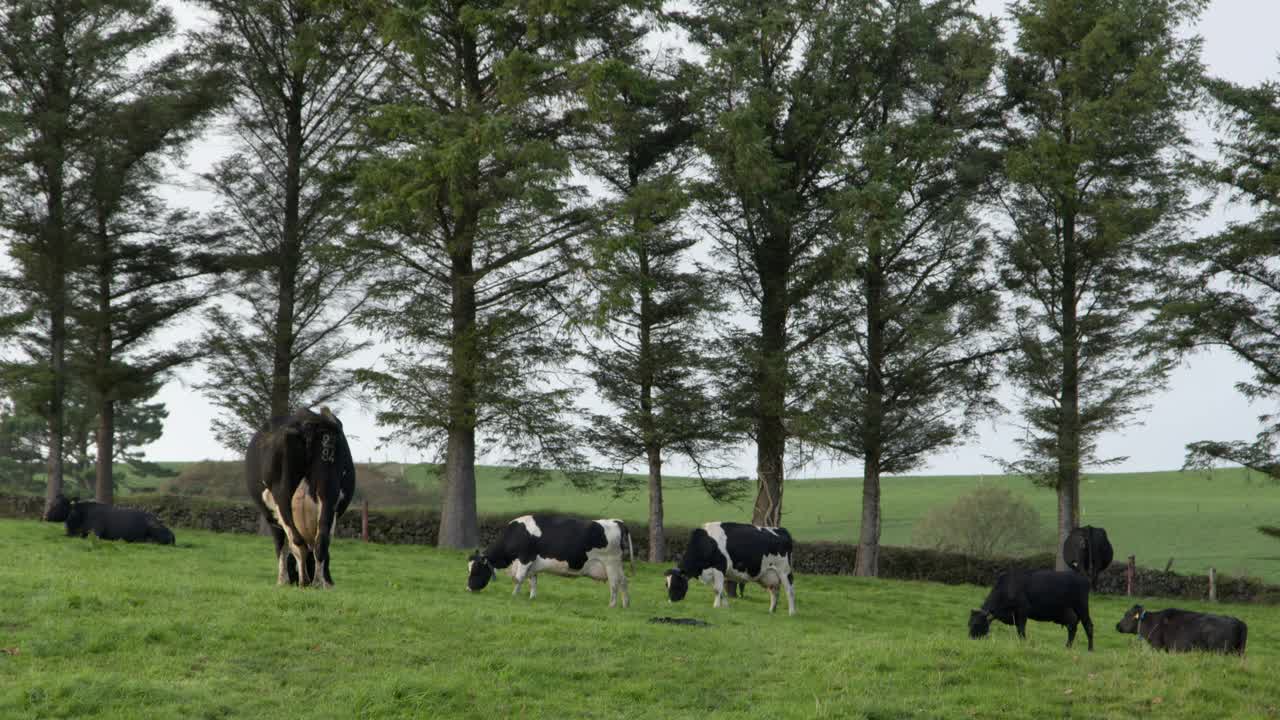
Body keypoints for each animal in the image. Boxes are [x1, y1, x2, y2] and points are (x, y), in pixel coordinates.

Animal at [244, 407, 353, 586]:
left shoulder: (272, 519)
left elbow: (281, 547)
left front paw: (282, 581)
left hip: (281, 495)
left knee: (296, 541)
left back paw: (304, 581)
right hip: (328, 492)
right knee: (321, 540)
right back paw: (319, 582)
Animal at [465, 509, 634, 604]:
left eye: (476, 570)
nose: (468, 588)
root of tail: (617, 521)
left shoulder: (525, 558)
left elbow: (518, 578)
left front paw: (513, 596)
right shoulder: (532, 565)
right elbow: (533, 581)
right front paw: (532, 598)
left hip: (611, 563)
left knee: (614, 584)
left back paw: (611, 605)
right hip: (618, 565)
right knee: (624, 582)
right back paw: (625, 605)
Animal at [665, 517, 793, 614]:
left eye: (677, 583)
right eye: (667, 585)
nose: (671, 601)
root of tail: (781, 530)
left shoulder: (719, 567)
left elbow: (717, 589)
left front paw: (715, 606)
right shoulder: (713, 572)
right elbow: (721, 590)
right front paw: (726, 607)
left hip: (784, 571)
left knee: (789, 590)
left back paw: (792, 612)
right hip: (769, 574)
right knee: (774, 591)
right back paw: (771, 611)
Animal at [962, 568, 1095, 648]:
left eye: (977, 624)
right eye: (969, 623)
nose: (971, 638)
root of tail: (1084, 578)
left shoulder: (1022, 611)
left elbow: (1021, 630)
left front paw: (1023, 643)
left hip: (1081, 606)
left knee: (1088, 626)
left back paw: (1090, 649)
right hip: (1069, 612)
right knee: (1072, 627)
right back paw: (1067, 646)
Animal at [1116, 602, 1244, 653]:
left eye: (1127, 615)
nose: (1117, 626)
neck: (1152, 622)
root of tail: (1238, 621)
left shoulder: (1157, 646)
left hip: (1221, 651)